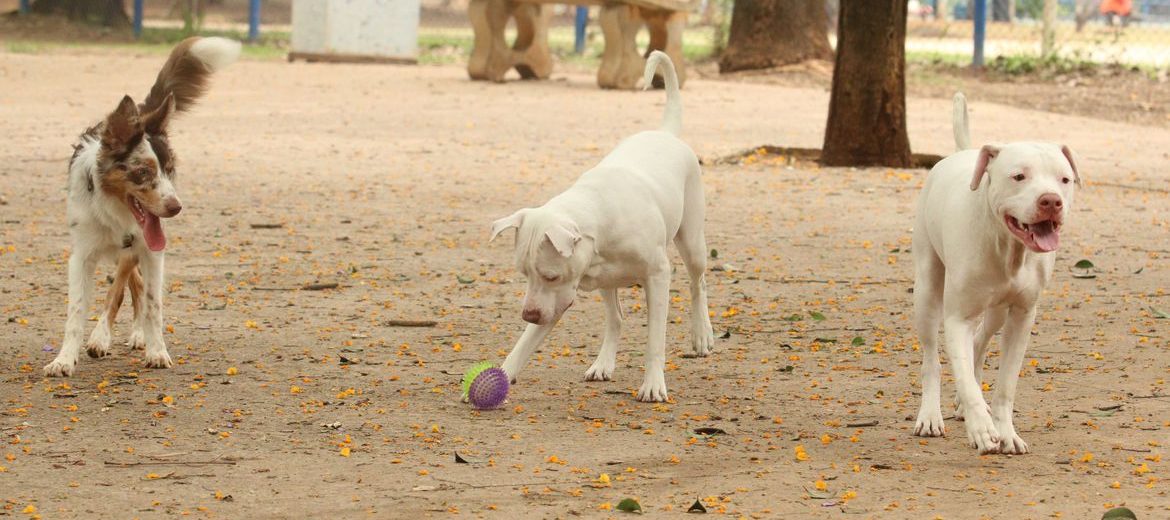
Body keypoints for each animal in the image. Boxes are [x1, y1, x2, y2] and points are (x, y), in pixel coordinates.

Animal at [43, 37, 239, 377]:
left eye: (170, 169)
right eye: (143, 172)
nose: (176, 207)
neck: (116, 212)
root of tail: (142, 115)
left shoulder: (151, 251)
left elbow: (151, 303)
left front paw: (156, 350)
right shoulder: (82, 255)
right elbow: (76, 311)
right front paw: (65, 359)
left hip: (135, 248)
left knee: (125, 287)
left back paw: (126, 335)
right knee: (126, 284)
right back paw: (105, 337)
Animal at [491, 50, 716, 405]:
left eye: (550, 275)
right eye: (524, 274)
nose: (528, 315)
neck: (598, 218)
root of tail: (665, 133)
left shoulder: (657, 276)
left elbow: (655, 339)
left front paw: (653, 384)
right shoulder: (557, 299)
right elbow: (525, 342)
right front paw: (502, 374)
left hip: (692, 242)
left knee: (698, 283)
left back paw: (701, 334)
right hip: (606, 283)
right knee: (616, 318)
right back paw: (603, 364)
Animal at [907, 94, 1081, 454]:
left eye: (1064, 179)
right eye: (1019, 176)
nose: (1051, 201)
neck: (1008, 248)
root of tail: (961, 152)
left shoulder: (1022, 317)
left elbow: (1005, 386)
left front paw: (1005, 431)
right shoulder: (957, 317)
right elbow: (961, 372)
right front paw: (981, 429)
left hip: (997, 310)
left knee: (979, 341)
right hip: (927, 290)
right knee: (932, 358)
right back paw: (930, 415)